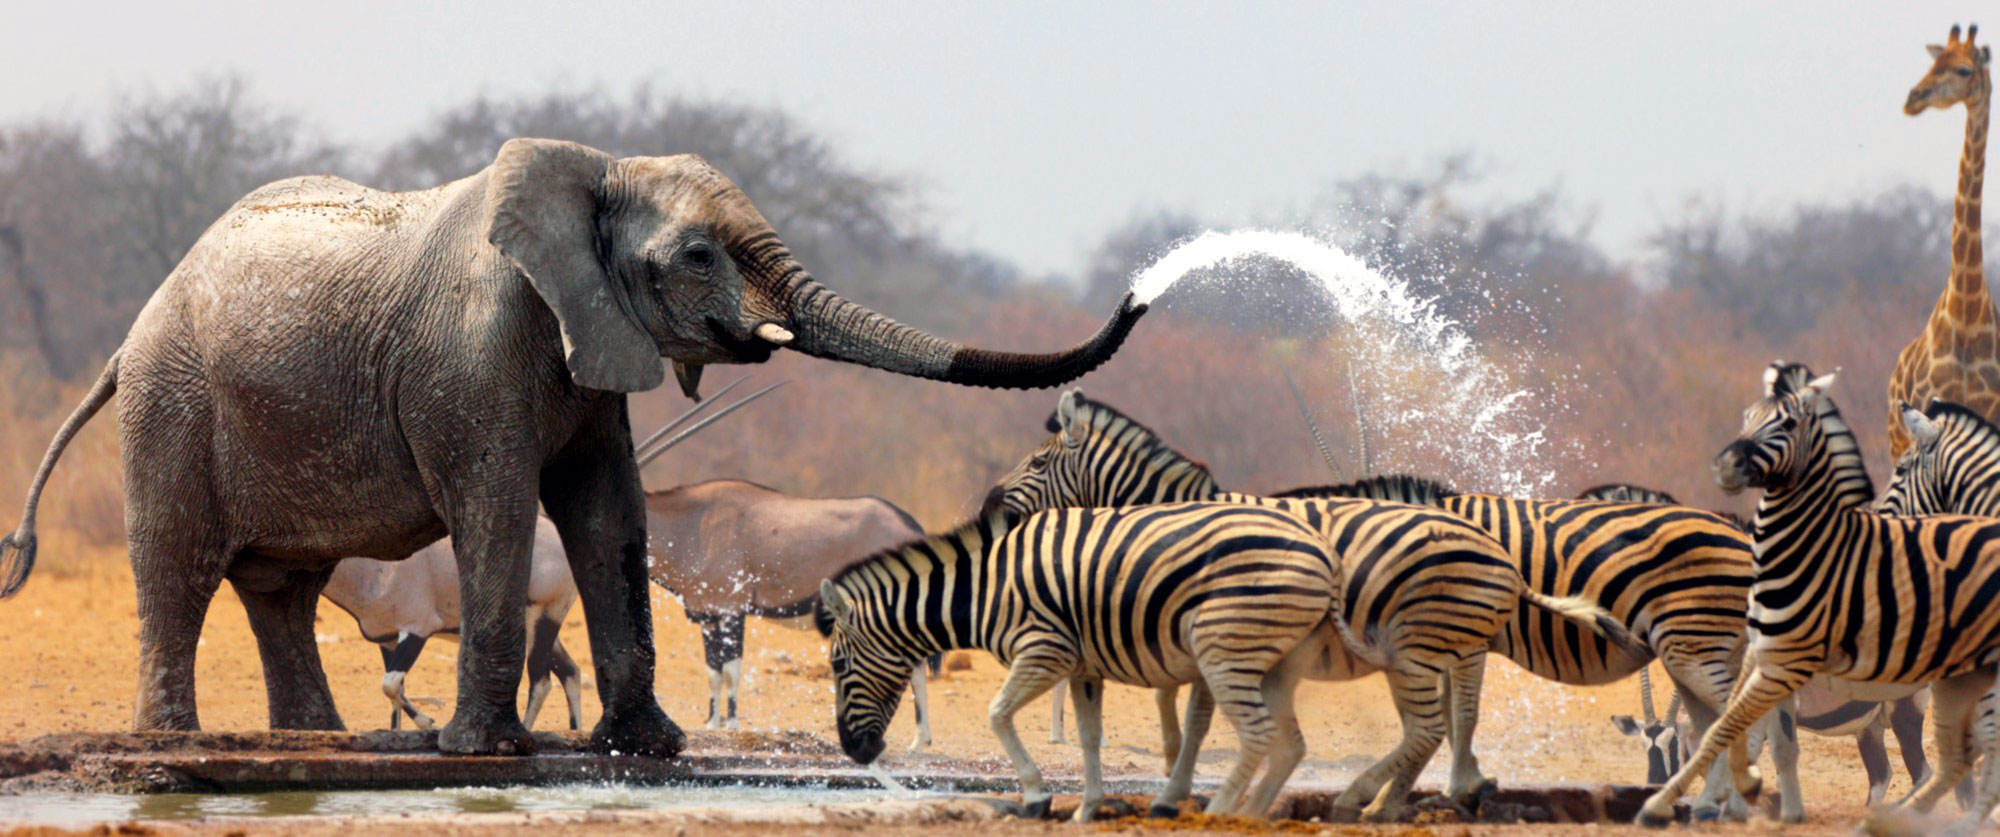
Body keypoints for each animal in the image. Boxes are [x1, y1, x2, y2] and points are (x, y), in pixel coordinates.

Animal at [0, 137, 1147, 757]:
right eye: (698, 255)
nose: (1141, 291)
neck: (594, 172)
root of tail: (130, 334)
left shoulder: (594, 345)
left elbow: (609, 513)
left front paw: (648, 748)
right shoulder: (472, 352)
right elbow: (500, 508)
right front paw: (483, 752)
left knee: (282, 585)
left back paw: (314, 743)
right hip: (173, 403)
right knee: (181, 567)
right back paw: (175, 743)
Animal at [814, 503, 1349, 822]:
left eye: (838, 665)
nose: (855, 752)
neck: (986, 588)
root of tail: (1324, 549)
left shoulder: (1044, 650)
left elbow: (997, 714)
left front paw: (1036, 796)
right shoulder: (1083, 666)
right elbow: (1089, 738)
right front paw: (1085, 811)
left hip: (1225, 648)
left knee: (1258, 734)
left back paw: (1216, 812)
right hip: (1271, 660)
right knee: (1286, 743)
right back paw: (1245, 812)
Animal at [987, 389, 1767, 821]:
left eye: (1037, 461)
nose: (988, 505)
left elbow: (1203, 717)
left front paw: (1176, 793)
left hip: (1690, 640)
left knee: (1736, 712)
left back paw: (1727, 797)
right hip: (1690, 646)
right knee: (1721, 715)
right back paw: (1716, 801)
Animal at [1579, 483, 1936, 808]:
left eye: (1675, 742)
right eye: (1643, 745)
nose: (1653, 785)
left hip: (1905, 710)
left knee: (1923, 774)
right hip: (1870, 726)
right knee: (1882, 776)